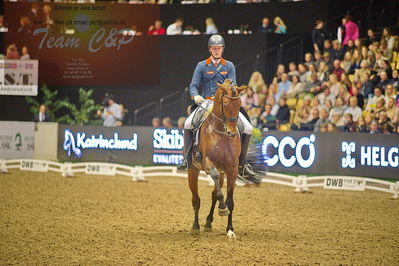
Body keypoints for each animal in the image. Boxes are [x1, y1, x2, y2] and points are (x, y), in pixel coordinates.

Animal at [188, 79, 247, 241]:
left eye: (239, 104)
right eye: (225, 104)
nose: (232, 132)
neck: (221, 133)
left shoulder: (232, 169)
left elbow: (230, 201)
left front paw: (230, 230)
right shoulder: (208, 163)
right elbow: (220, 193)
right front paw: (222, 208)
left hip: (222, 173)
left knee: (214, 194)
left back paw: (208, 223)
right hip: (193, 170)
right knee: (196, 199)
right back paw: (195, 227)